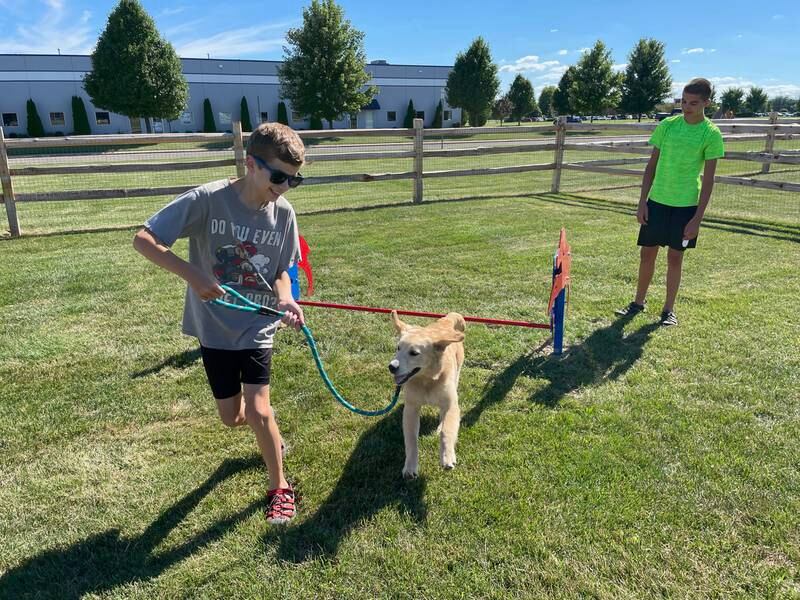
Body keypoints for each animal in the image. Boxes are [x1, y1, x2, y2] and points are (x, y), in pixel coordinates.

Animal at [386, 310, 462, 478]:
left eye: (414, 353)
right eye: (398, 347)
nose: (392, 367)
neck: (427, 380)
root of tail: (448, 319)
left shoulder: (451, 405)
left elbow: (447, 431)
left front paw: (447, 456)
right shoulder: (411, 408)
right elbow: (411, 439)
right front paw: (410, 466)